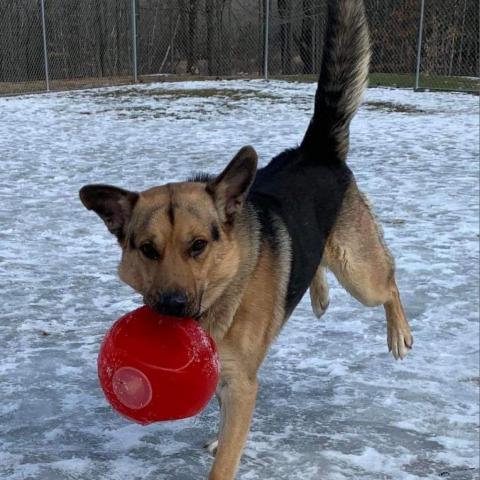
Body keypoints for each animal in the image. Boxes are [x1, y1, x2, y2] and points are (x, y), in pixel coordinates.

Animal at [79, 1, 412, 478]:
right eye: (147, 249)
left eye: (198, 245)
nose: (171, 307)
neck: (223, 295)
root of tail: (315, 150)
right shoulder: (228, 379)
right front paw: (222, 439)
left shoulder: (242, 386)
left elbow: (225, 460)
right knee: (318, 264)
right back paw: (319, 294)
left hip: (359, 272)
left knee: (389, 281)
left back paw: (398, 331)